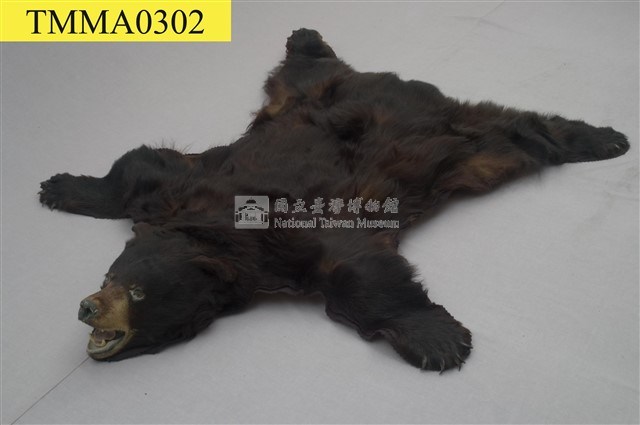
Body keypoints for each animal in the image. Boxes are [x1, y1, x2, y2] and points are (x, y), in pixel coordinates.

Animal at [39, 28, 629, 372]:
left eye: (138, 293)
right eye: (111, 274)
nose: (87, 307)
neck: (216, 237)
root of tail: (407, 84)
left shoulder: (293, 233)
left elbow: (359, 271)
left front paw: (439, 341)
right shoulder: (180, 190)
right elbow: (137, 168)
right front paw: (59, 187)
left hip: (462, 149)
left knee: (518, 137)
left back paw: (604, 139)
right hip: (302, 94)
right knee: (304, 66)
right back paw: (304, 34)